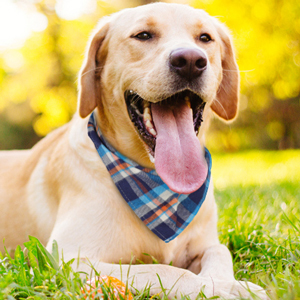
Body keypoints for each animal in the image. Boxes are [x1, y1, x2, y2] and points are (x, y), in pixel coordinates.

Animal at [0, 2, 268, 300]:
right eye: (143, 35)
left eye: (205, 38)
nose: (189, 61)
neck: (156, 180)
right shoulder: (69, 259)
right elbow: (166, 271)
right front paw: (220, 287)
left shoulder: (204, 244)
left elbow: (219, 251)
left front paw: (227, 282)